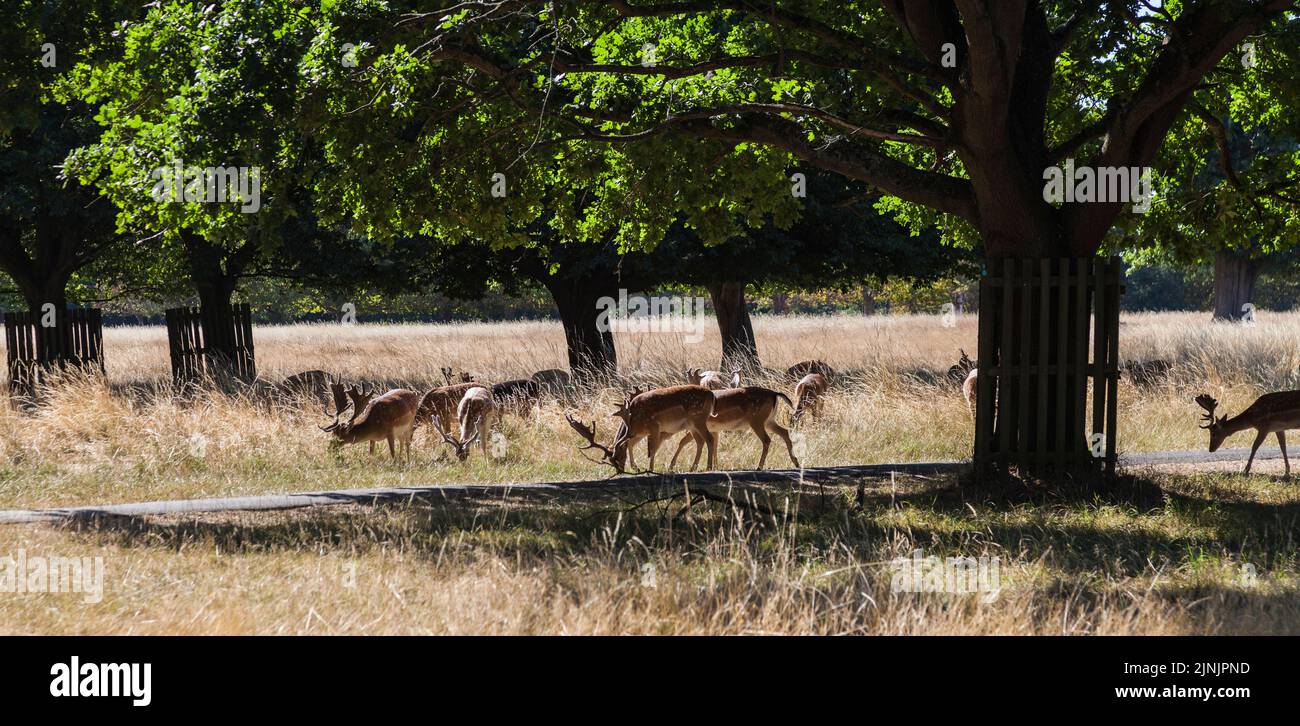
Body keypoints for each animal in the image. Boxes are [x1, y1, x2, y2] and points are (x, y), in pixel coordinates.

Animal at [564, 385, 717, 476]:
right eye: (611, 460)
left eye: (618, 456)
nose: (620, 471)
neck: (634, 420)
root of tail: (711, 394)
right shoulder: (640, 432)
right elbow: (632, 444)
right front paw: (636, 468)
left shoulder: (654, 426)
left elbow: (652, 449)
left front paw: (650, 469)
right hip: (692, 425)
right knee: (700, 441)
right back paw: (693, 468)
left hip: (698, 418)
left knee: (709, 439)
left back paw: (709, 467)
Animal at [670, 387, 800, 473]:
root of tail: (775, 394)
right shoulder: (712, 429)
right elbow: (714, 445)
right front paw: (716, 467)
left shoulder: (698, 426)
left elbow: (683, 441)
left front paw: (672, 465)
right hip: (769, 420)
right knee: (784, 432)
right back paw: (796, 462)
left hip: (757, 420)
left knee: (767, 439)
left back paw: (759, 467)